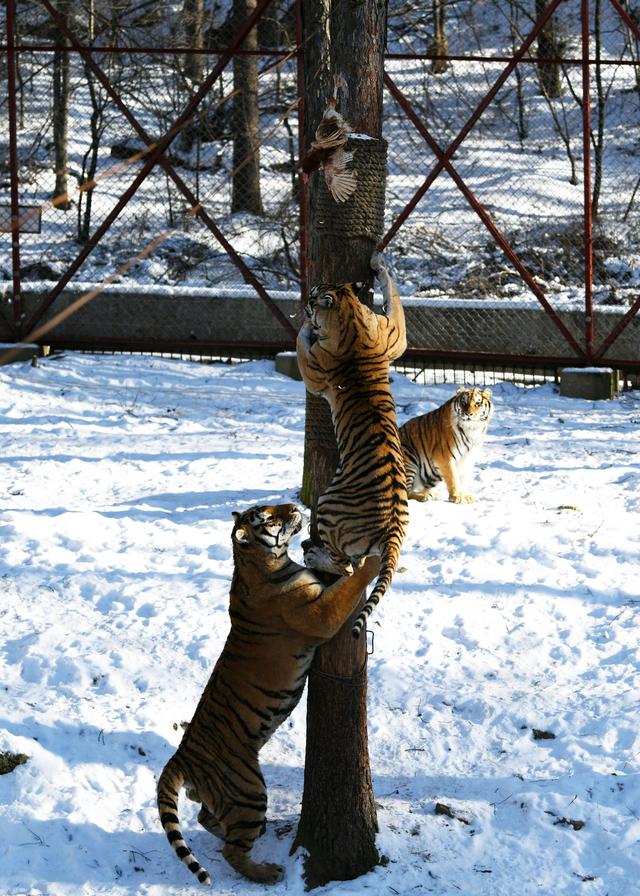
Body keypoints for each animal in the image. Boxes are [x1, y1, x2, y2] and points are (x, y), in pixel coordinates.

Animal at [157, 502, 380, 887]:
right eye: (268, 517)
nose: (293, 506)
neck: (263, 563)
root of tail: (181, 757)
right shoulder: (319, 615)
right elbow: (349, 586)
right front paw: (370, 561)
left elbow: (341, 578)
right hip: (249, 790)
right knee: (231, 850)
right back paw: (267, 873)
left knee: (206, 818)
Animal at [296, 253, 408, 639]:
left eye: (314, 292)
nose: (304, 300)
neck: (350, 315)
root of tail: (393, 530)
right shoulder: (394, 334)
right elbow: (393, 294)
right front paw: (379, 263)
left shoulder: (314, 373)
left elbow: (302, 348)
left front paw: (305, 327)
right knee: (356, 567)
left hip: (328, 504)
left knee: (344, 566)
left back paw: (313, 555)